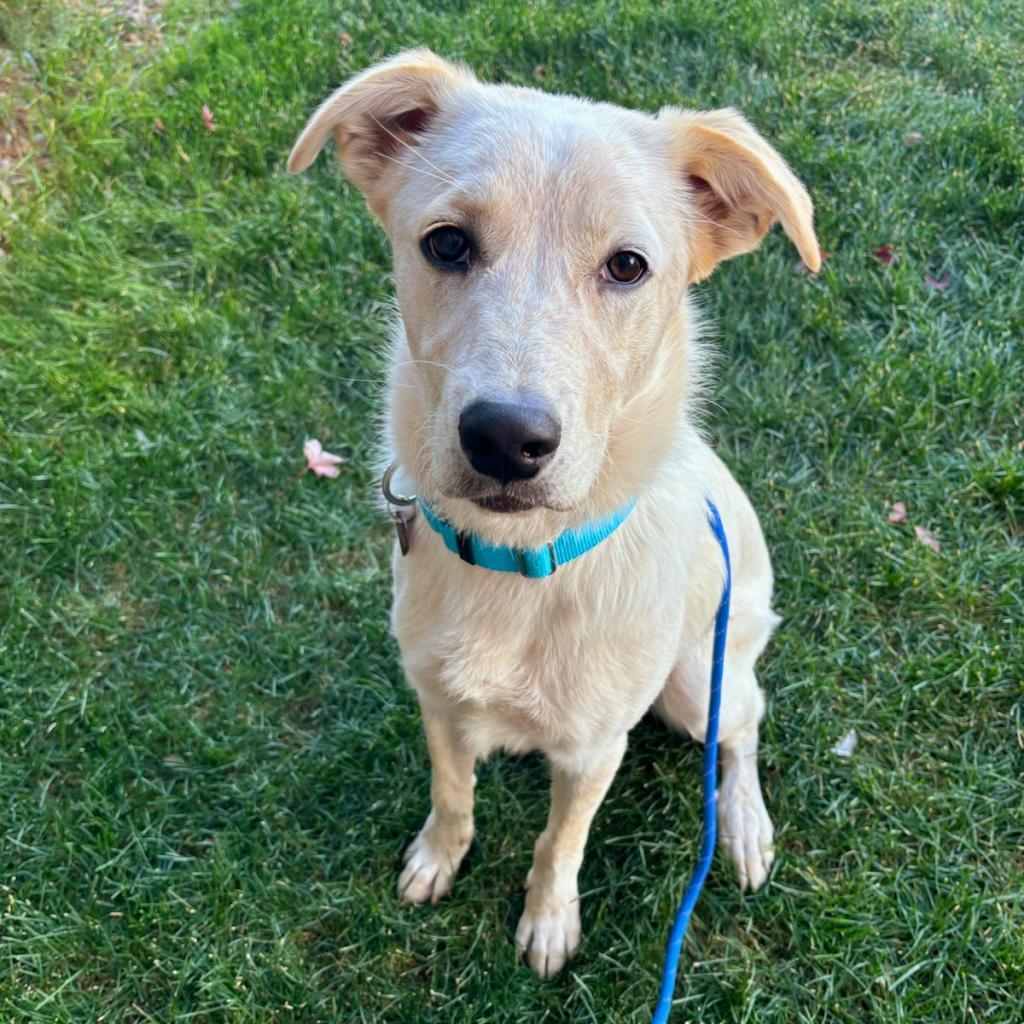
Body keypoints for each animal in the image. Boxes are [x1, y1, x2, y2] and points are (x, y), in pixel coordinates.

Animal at [290, 51, 823, 978]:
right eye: (446, 243)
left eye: (628, 266)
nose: (506, 439)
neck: (520, 564)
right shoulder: (437, 702)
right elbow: (452, 793)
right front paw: (438, 857)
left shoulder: (593, 748)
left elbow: (559, 843)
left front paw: (548, 921)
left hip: (699, 682)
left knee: (744, 723)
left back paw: (744, 823)